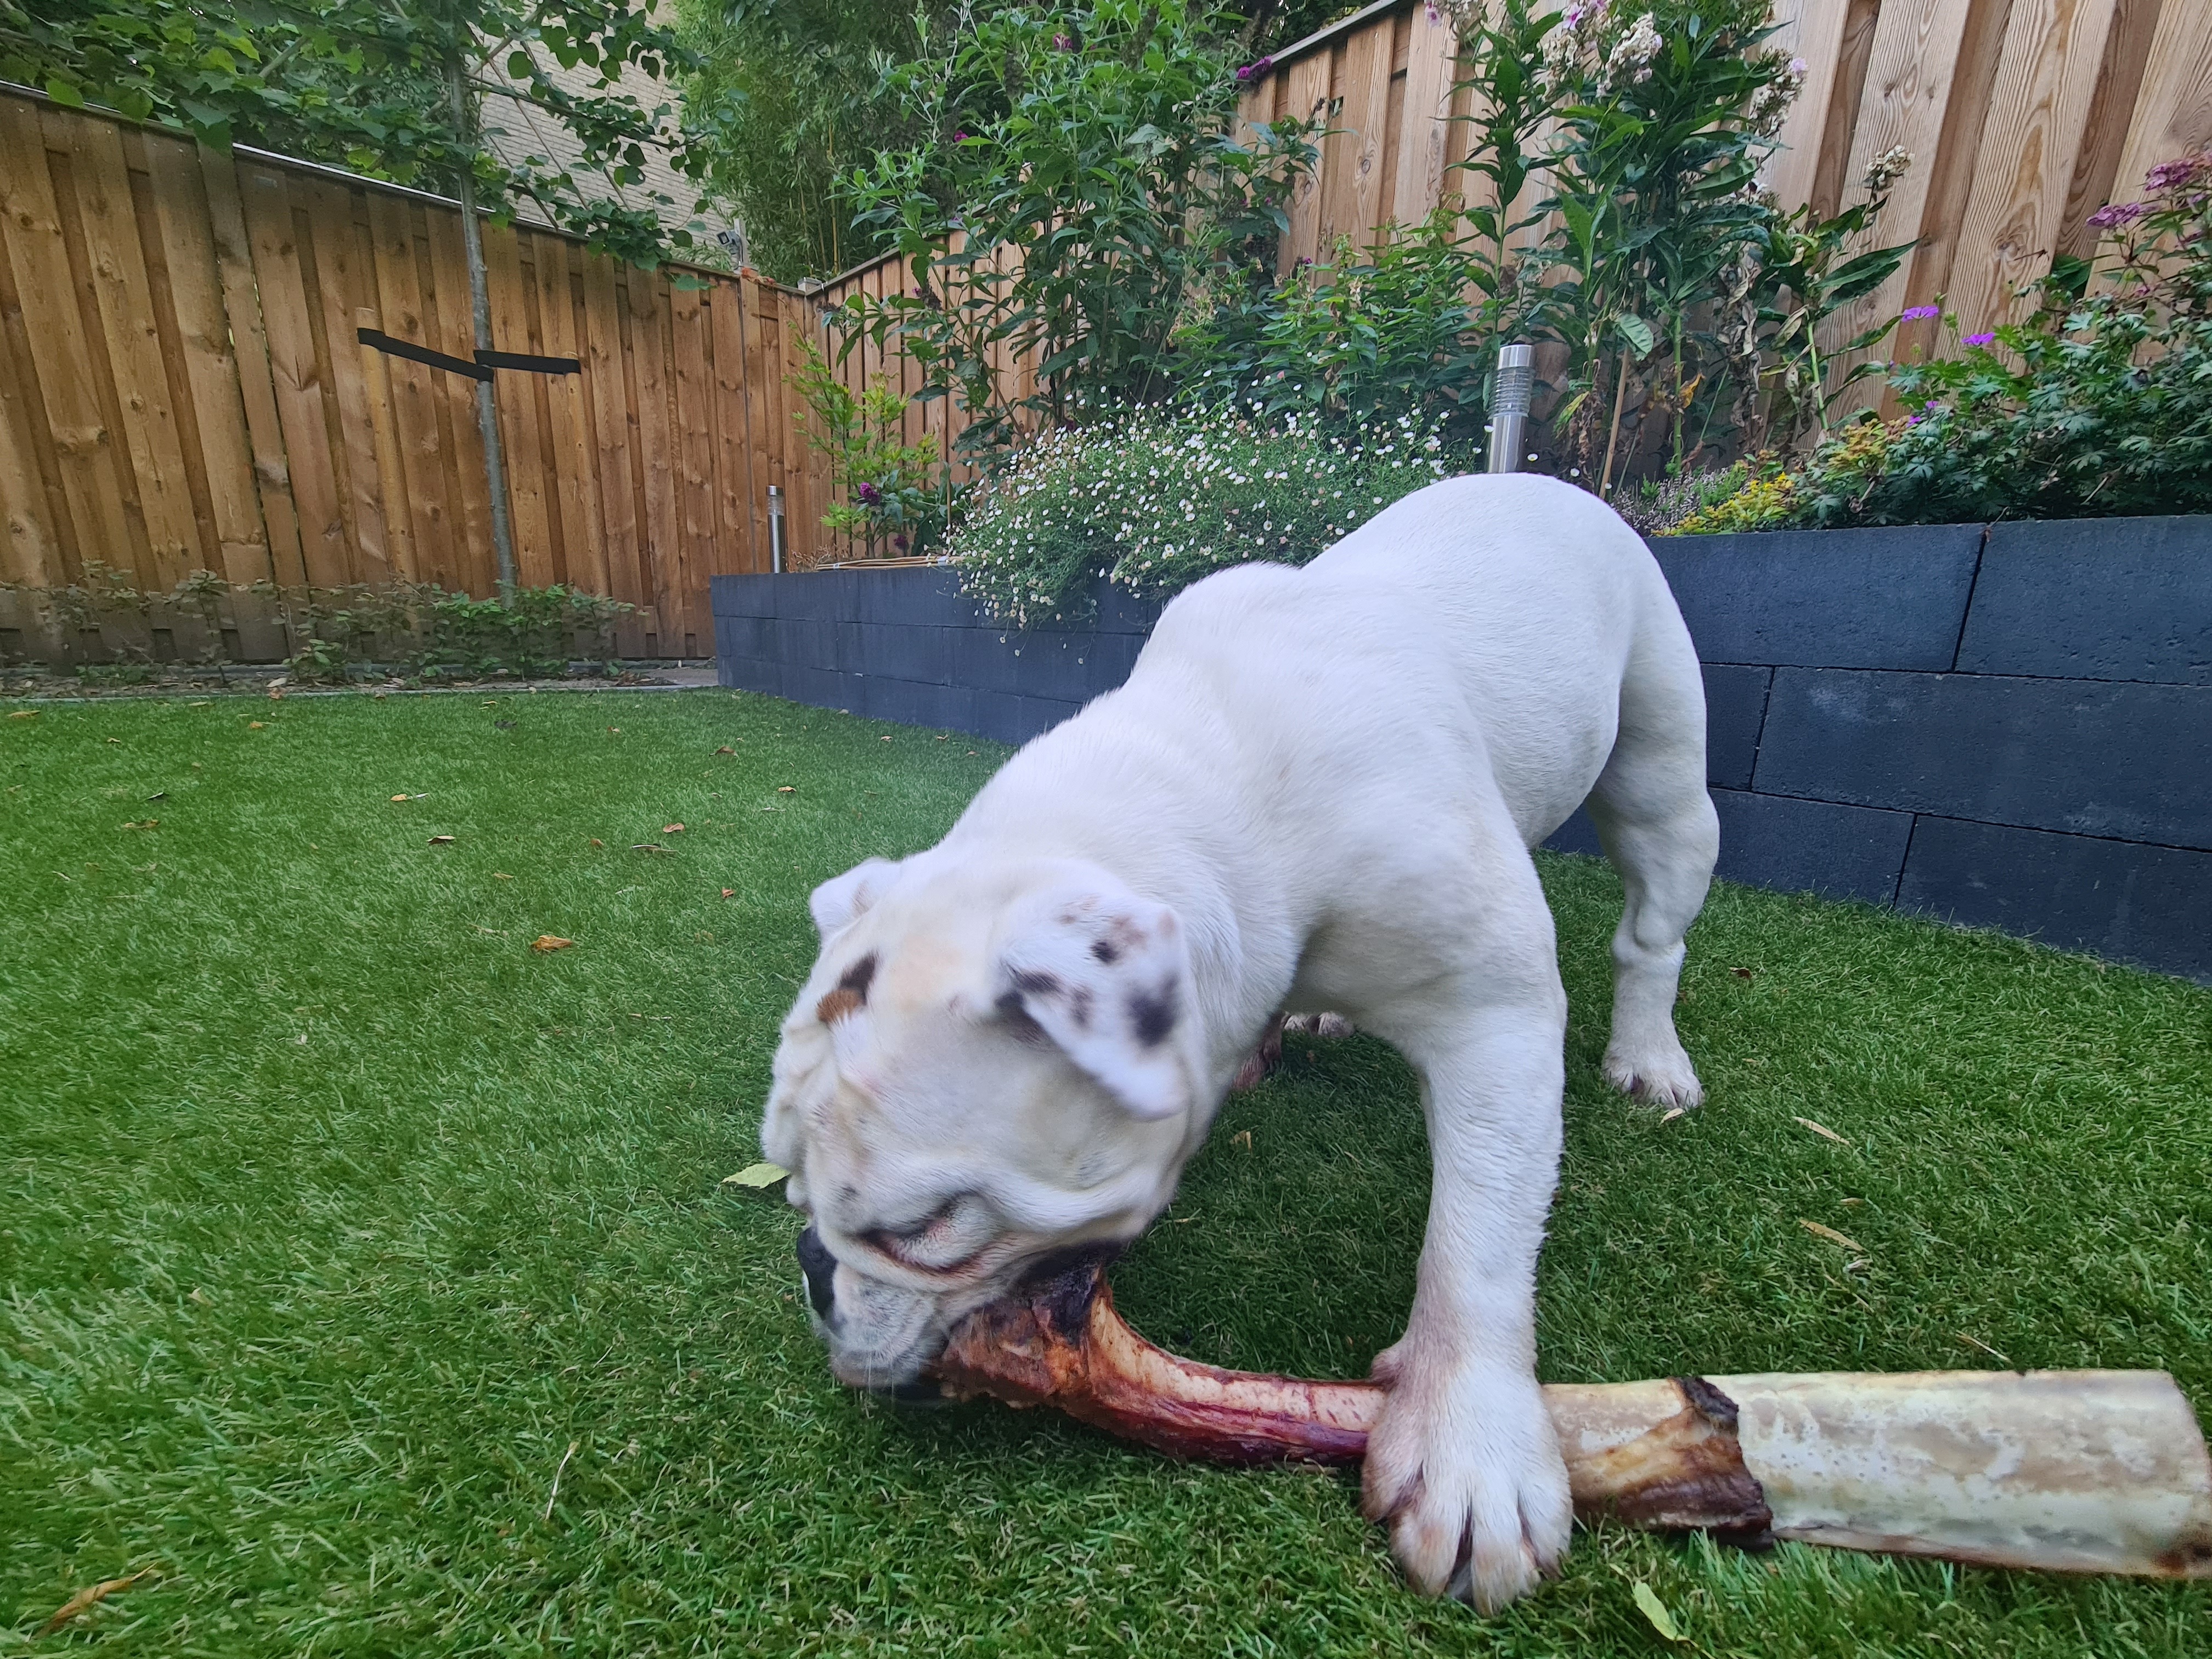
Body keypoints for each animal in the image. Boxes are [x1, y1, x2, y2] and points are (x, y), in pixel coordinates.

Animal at [761, 473, 1718, 1609]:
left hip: (1661, 761)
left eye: (923, 1227)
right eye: (790, 1187)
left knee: (1652, 919)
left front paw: (1469, 1446)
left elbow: (1476, 1239)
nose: (813, 1270)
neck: (1219, 784)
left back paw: (1649, 1054)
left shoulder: (1497, 1017)